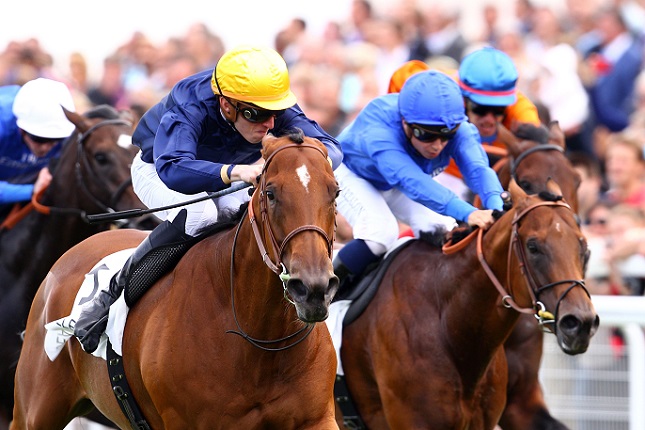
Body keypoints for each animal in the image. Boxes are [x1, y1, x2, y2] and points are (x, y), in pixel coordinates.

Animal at [11, 132, 342, 430]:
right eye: (271, 193)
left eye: (335, 192)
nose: (313, 288)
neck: (260, 342)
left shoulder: (316, 418)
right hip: (34, 411)